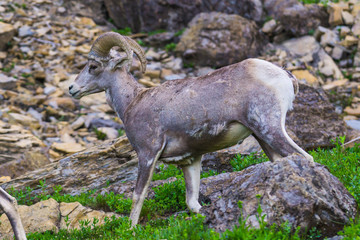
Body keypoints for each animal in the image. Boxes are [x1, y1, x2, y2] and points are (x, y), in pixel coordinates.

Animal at [69, 32, 310, 227]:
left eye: (93, 67)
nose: (72, 89)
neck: (132, 102)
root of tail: (284, 75)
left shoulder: (148, 154)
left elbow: (138, 196)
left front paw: (131, 230)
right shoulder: (190, 161)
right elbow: (192, 203)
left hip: (269, 128)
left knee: (305, 158)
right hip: (262, 137)